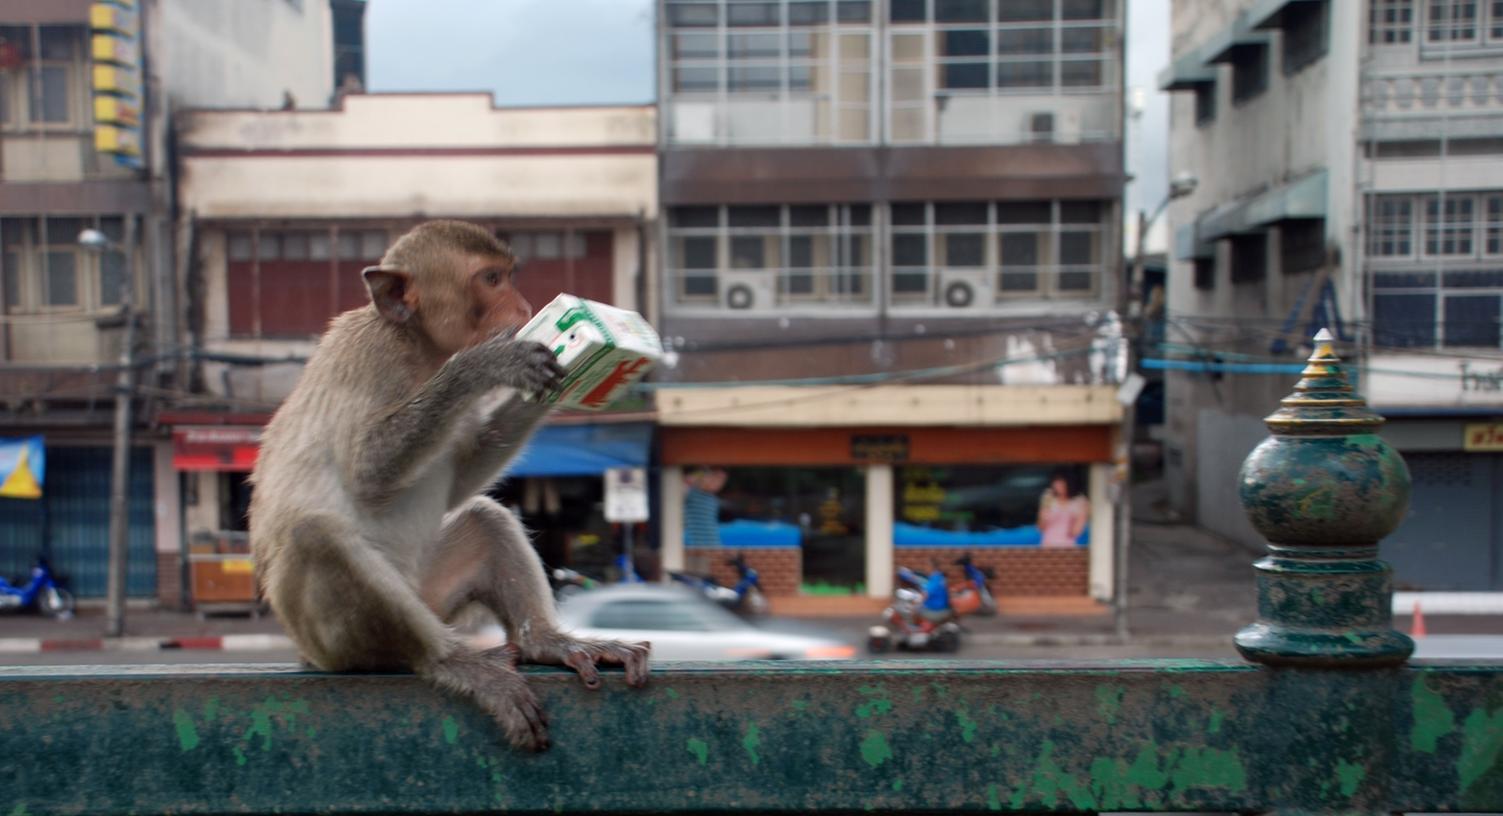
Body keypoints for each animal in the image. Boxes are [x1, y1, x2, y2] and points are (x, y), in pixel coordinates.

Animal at [249, 219, 649, 754]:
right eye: (492, 280)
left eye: (508, 276)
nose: (526, 308)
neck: (416, 344)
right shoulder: (373, 357)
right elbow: (369, 471)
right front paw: (489, 364)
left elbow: (461, 477)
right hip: (331, 640)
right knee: (316, 534)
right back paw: (452, 661)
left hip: (433, 594)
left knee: (485, 516)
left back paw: (546, 640)